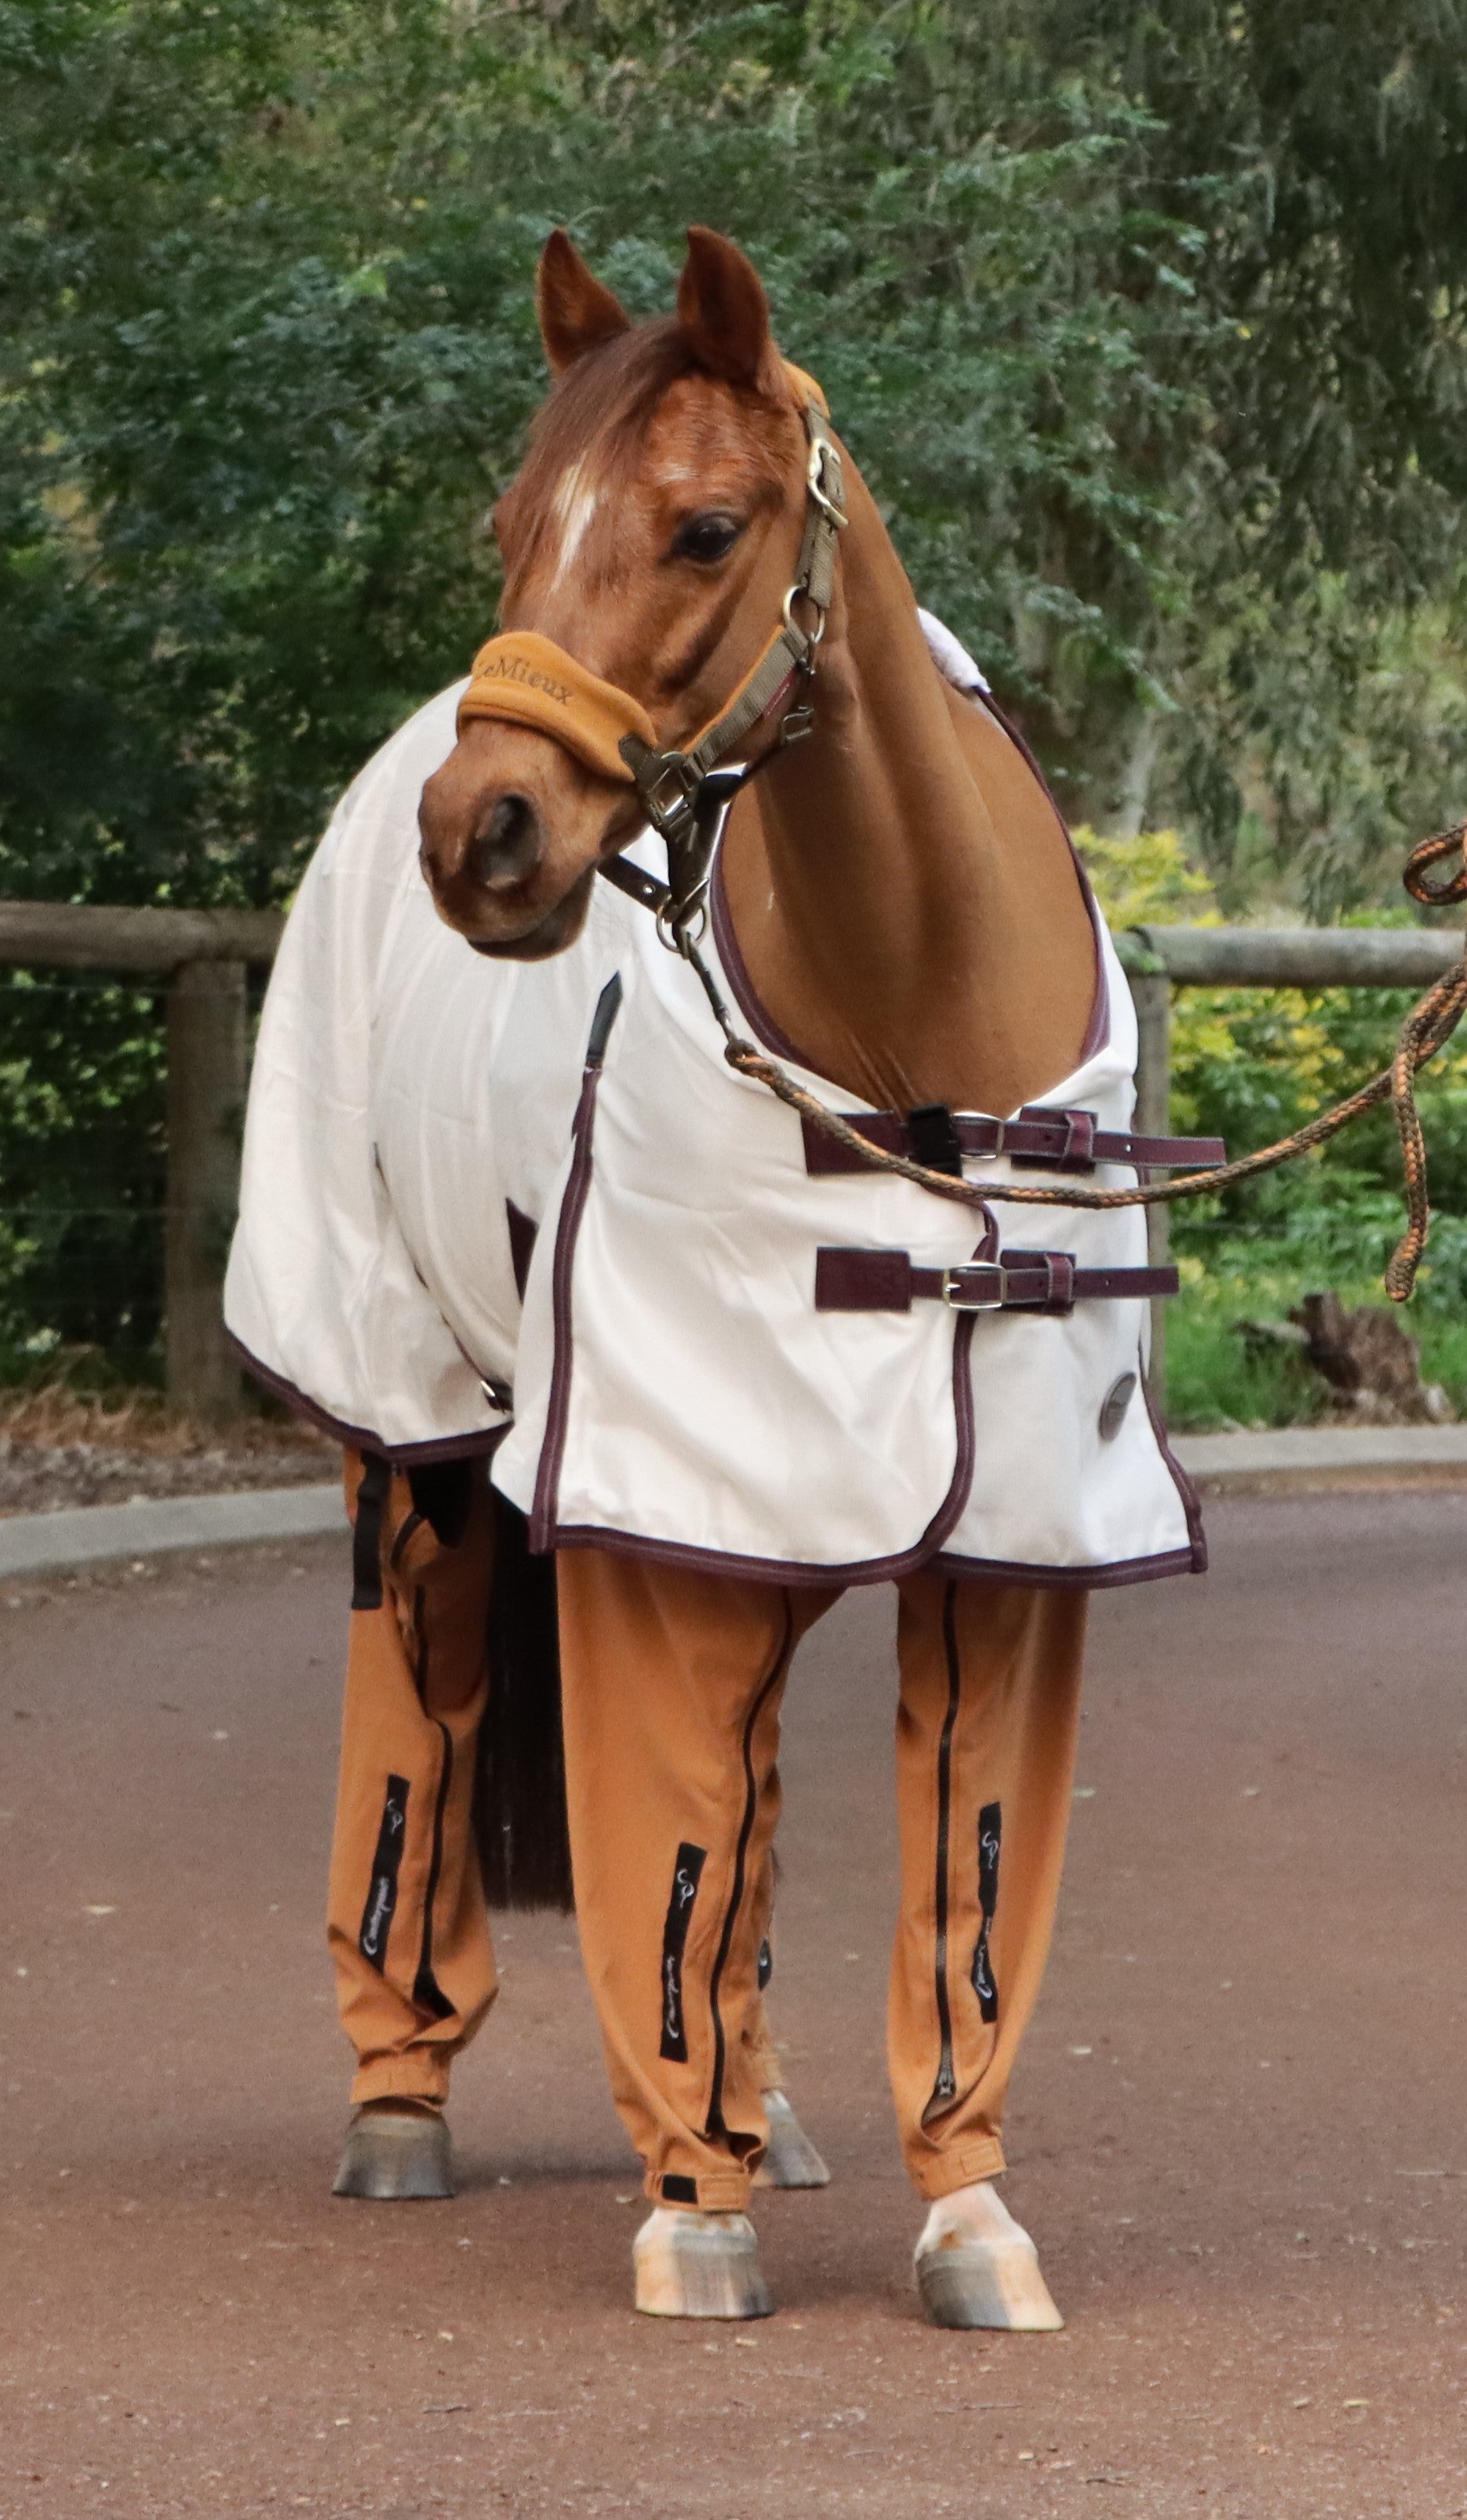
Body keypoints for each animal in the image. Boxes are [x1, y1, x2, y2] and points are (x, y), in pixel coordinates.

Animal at [227, 224, 1209, 2324]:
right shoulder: (661, 1506)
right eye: (513, 520)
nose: (483, 832)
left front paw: (965, 2212)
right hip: (424, 1454)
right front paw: (695, 2203)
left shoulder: (1004, 1546)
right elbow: (663, 1839)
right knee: (419, 1737)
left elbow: (957, 1864)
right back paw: (402, 2102)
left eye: (701, 525)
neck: (919, 1043)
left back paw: (780, 2110)